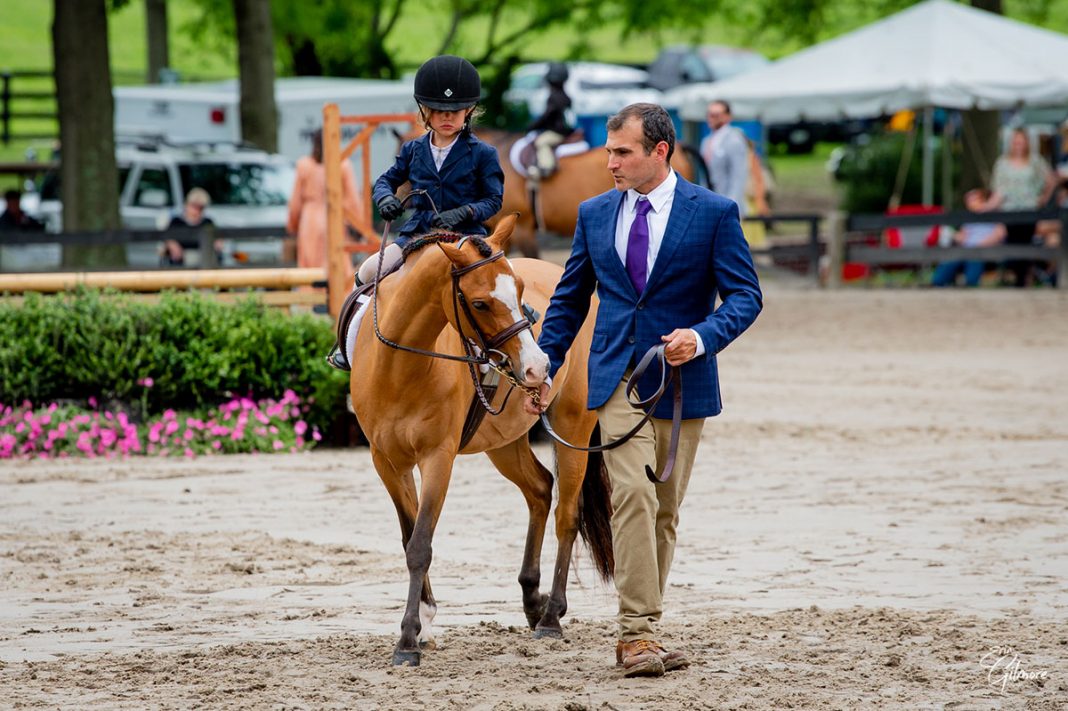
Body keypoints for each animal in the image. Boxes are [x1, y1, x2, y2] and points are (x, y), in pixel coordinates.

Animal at [349, 213, 614, 666]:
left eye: (520, 292)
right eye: (479, 304)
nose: (538, 367)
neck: (400, 364)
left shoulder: (438, 458)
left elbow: (421, 543)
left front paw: (407, 640)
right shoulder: (387, 461)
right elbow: (408, 536)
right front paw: (424, 623)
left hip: (572, 426)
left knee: (566, 515)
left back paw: (551, 617)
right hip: (504, 442)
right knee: (540, 489)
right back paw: (532, 600)